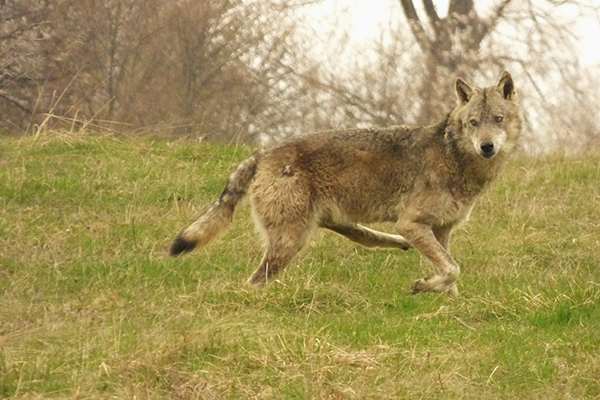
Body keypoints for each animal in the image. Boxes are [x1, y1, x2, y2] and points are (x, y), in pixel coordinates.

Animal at [169, 71, 520, 296]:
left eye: (498, 120)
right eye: (473, 123)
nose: (486, 146)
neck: (456, 159)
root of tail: (263, 154)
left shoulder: (441, 229)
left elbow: (449, 273)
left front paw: (446, 305)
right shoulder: (412, 222)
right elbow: (452, 269)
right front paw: (423, 286)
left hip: (329, 222)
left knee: (367, 237)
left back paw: (397, 244)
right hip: (292, 240)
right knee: (254, 281)